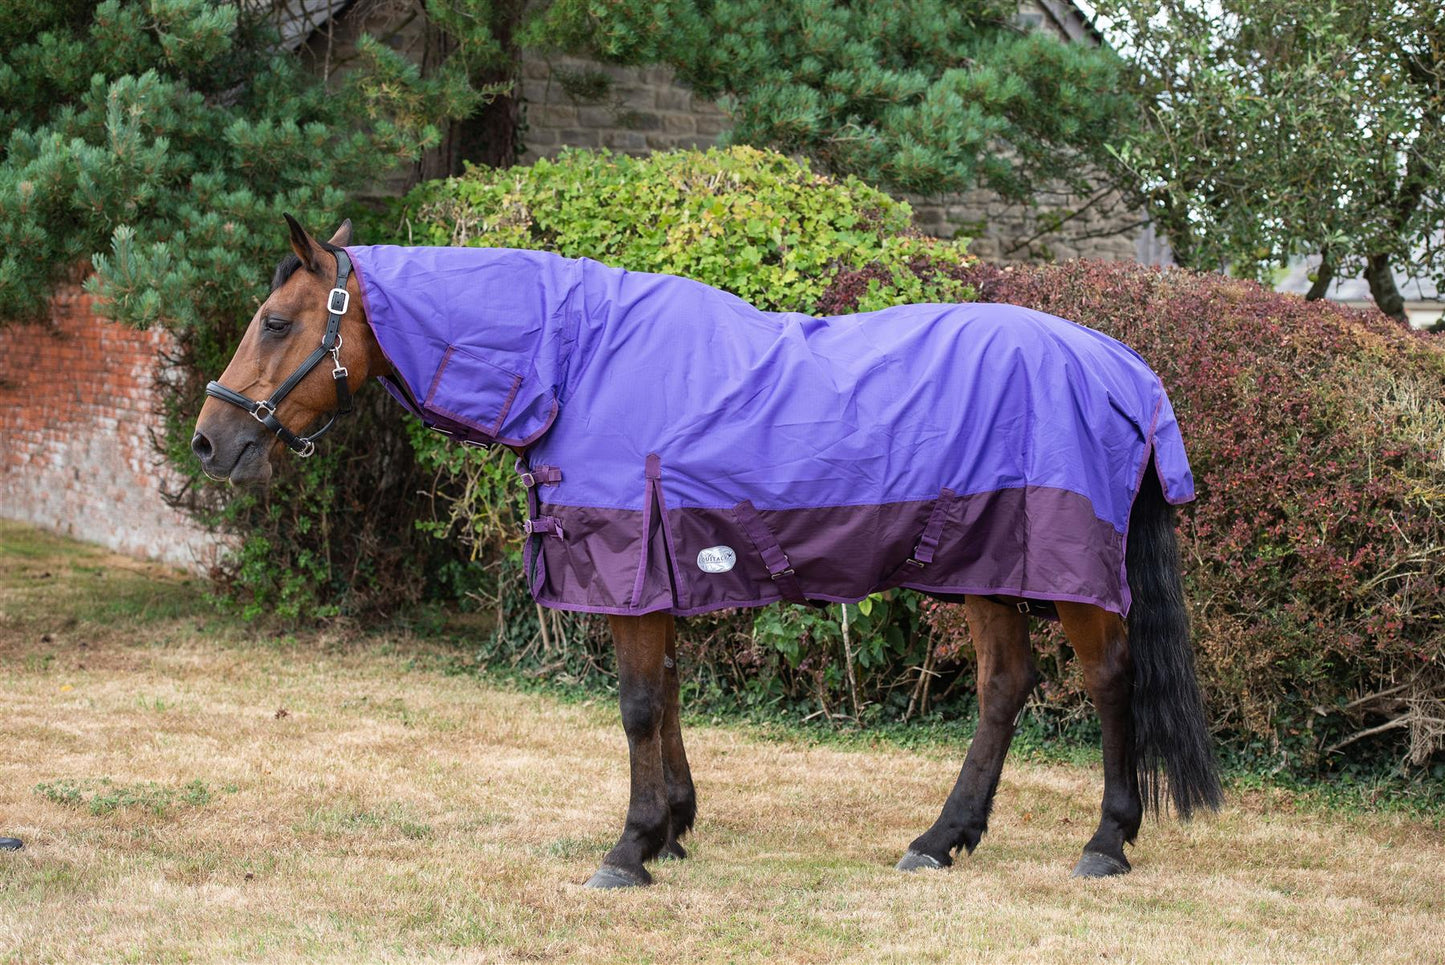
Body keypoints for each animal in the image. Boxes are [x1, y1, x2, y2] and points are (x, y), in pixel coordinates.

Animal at [192, 216, 1222, 888]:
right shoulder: (662, 567)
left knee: (1107, 681)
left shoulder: (630, 566)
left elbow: (638, 705)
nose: (211, 440)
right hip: (985, 567)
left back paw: (1105, 842)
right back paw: (939, 838)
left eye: (276, 322)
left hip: (1069, 573)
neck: (579, 360)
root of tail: (1121, 364)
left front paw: (630, 848)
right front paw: (673, 830)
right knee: (1003, 685)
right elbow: (670, 695)